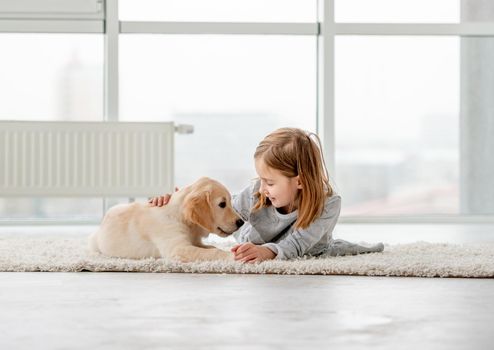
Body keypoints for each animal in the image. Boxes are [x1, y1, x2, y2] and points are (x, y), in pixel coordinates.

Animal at [89, 178, 244, 262]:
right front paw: (232, 256)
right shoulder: (178, 248)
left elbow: (211, 247)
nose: (241, 222)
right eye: (222, 204)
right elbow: (213, 252)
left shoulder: (194, 242)